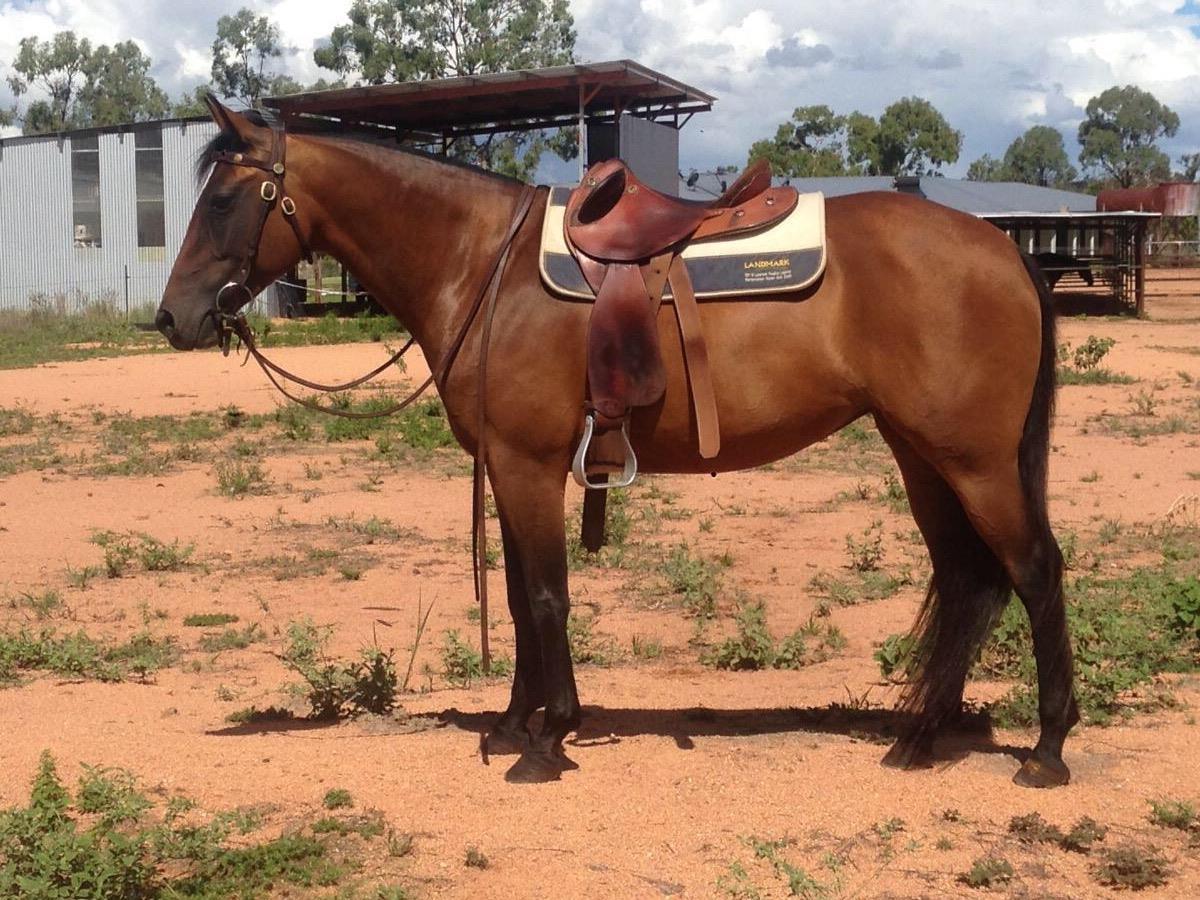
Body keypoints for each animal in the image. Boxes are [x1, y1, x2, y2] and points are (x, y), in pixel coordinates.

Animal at [155, 97, 1077, 787]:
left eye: (224, 201)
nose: (173, 318)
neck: (484, 268)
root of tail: (1004, 250)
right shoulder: (509, 467)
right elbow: (521, 599)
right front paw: (515, 721)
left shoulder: (528, 466)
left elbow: (544, 597)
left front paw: (547, 738)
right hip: (921, 453)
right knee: (969, 580)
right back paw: (918, 738)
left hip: (975, 462)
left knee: (1033, 571)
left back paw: (1046, 748)